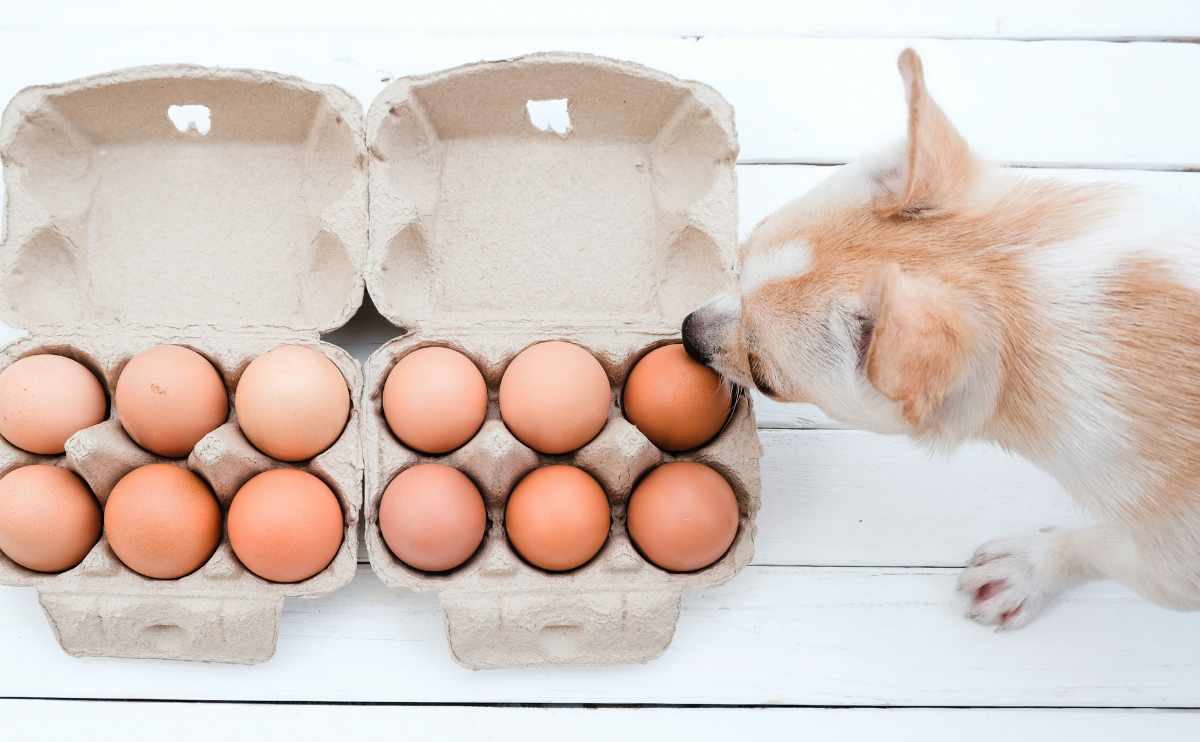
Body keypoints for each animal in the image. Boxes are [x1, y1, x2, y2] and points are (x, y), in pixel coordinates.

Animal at [681, 47, 1200, 624]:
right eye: (742, 258)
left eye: (767, 378)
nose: (687, 331)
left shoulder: (1172, 562)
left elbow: (1103, 550)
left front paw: (1030, 567)